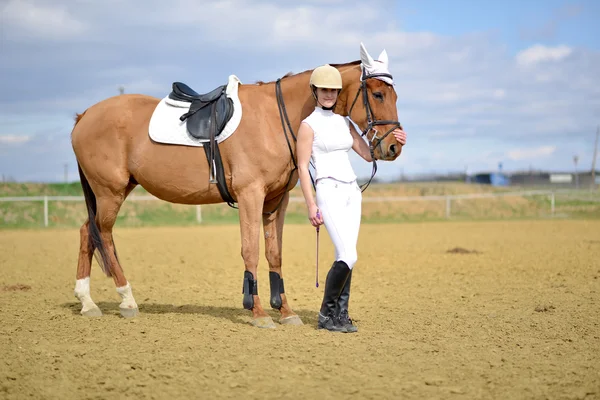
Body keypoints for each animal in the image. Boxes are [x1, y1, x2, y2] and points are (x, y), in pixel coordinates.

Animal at [72, 43, 404, 328]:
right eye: (377, 94)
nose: (393, 147)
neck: (276, 117)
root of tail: (84, 115)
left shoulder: (275, 200)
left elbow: (274, 254)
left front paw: (286, 311)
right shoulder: (250, 195)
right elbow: (251, 251)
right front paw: (258, 312)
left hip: (115, 191)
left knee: (88, 232)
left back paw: (88, 303)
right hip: (110, 192)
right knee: (102, 233)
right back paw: (127, 300)